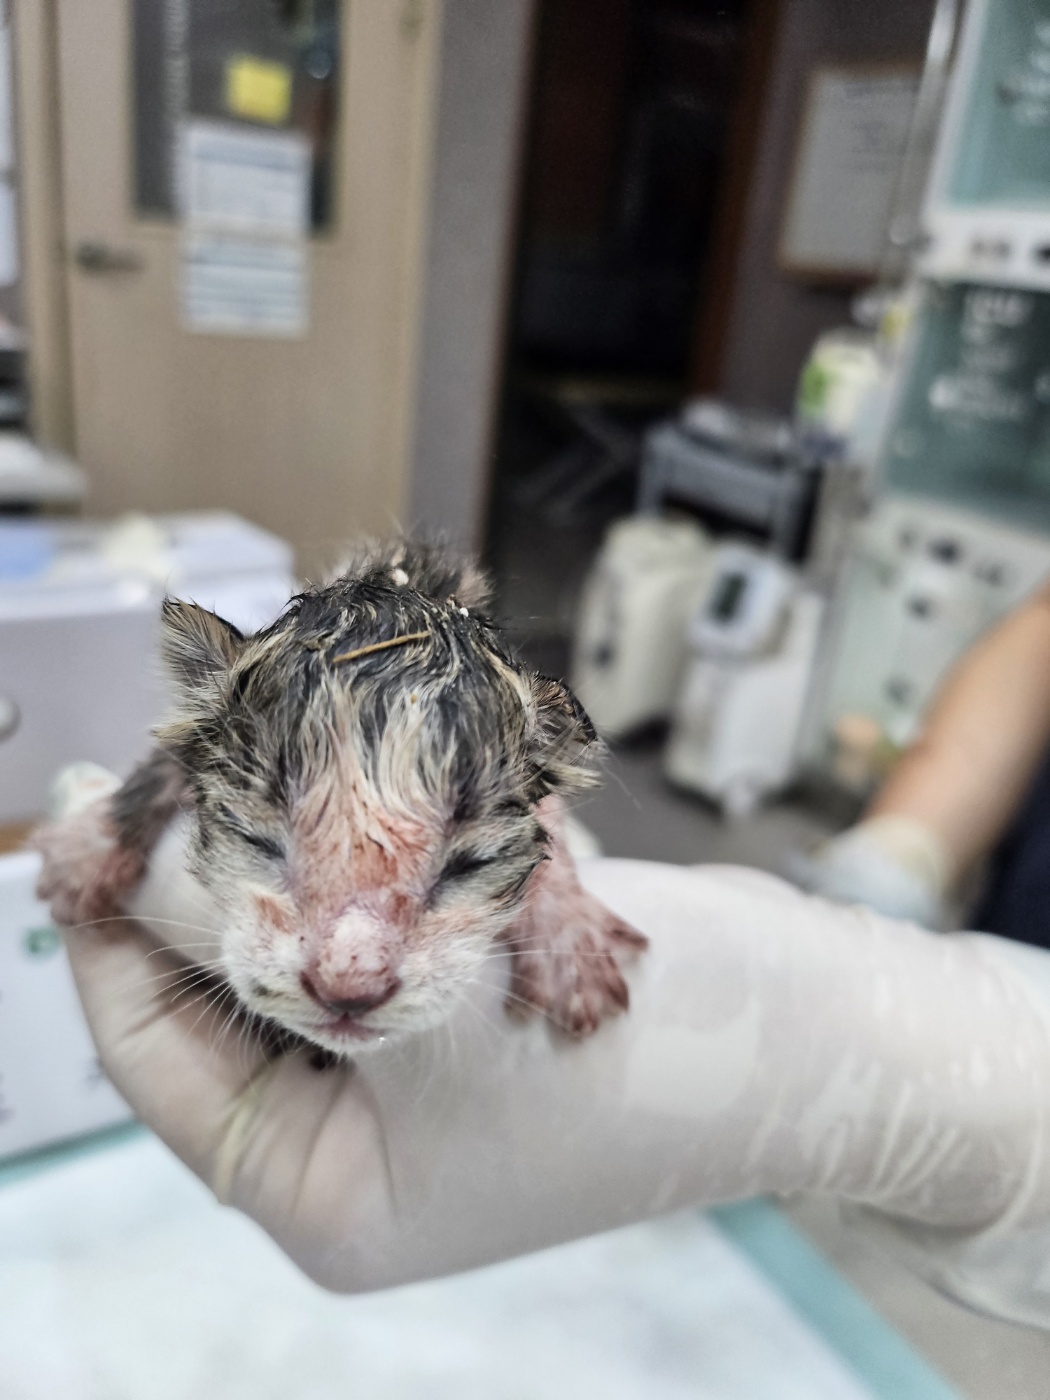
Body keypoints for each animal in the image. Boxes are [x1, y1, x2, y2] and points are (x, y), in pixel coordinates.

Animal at [37, 540, 646, 1052]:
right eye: (258, 841)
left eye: (468, 865)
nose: (348, 986)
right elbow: (166, 759)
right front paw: (89, 849)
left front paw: (570, 942)